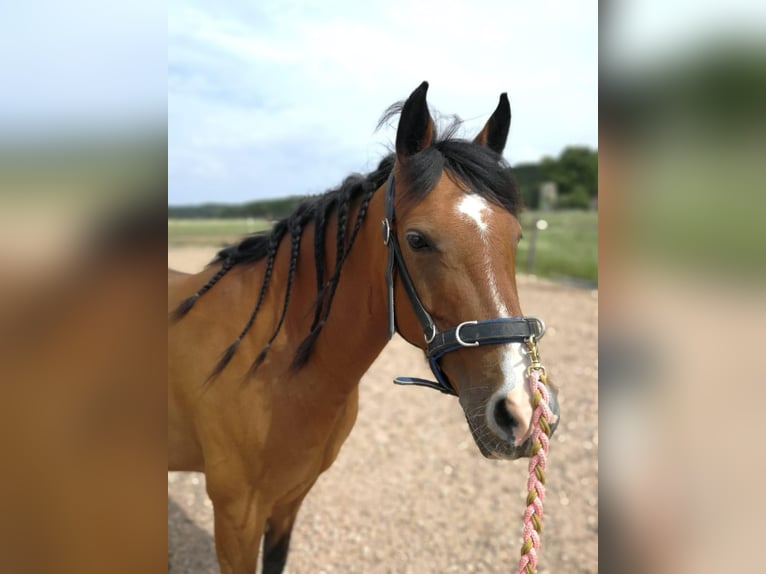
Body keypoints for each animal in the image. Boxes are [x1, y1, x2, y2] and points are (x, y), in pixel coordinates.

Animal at [168, 81, 561, 574]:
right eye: (417, 240)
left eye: (516, 237)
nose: (524, 411)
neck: (274, 369)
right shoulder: (236, 517)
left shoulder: (288, 501)